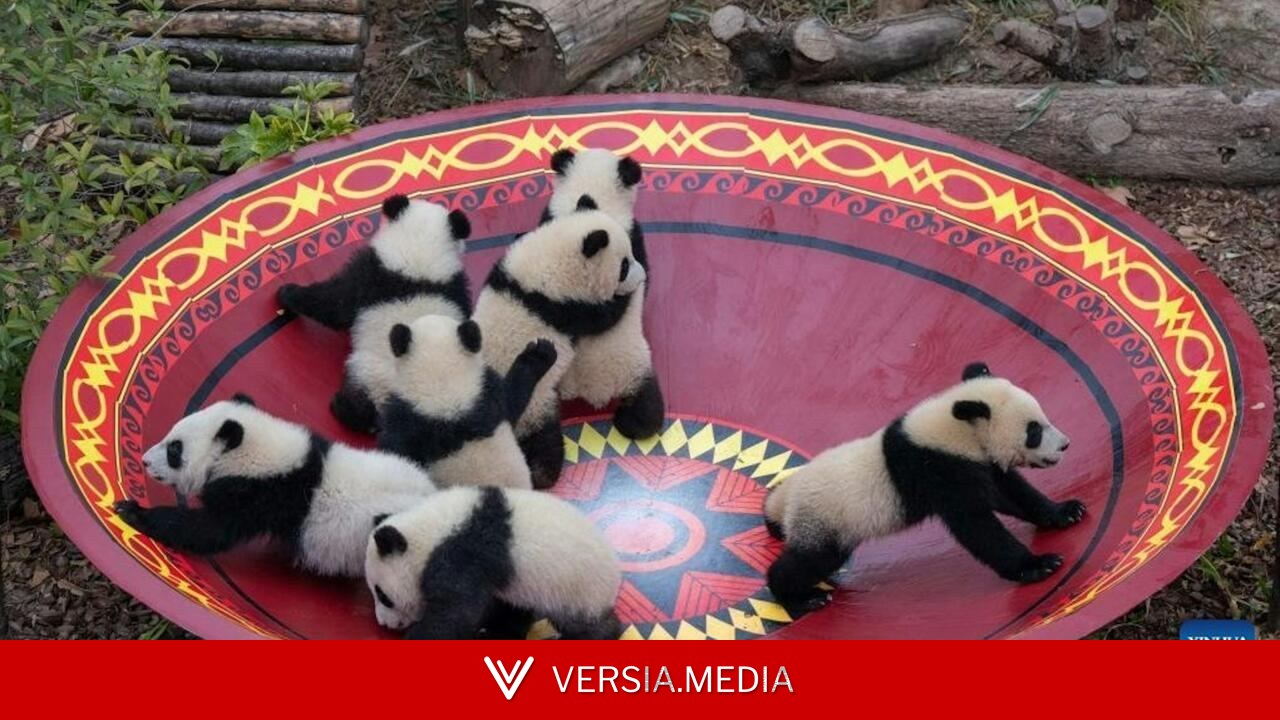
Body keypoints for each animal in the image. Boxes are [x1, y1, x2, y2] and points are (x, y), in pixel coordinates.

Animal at [276, 194, 471, 434]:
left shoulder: (367, 274)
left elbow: (333, 303)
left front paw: (286, 294)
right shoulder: (457, 290)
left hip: (368, 373)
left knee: (361, 403)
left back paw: (343, 407)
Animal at [365, 485, 622, 640]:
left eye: (383, 596)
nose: (384, 624)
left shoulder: (463, 557)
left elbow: (458, 612)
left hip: (577, 590)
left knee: (587, 627)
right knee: (515, 610)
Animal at [473, 210, 659, 488]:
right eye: (624, 266)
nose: (640, 276)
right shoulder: (564, 310)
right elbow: (604, 318)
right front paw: (623, 298)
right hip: (537, 405)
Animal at [763, 362, 1085, 608]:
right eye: (1034, 431)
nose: (1066, 445)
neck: (955, 427)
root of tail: (789, 496)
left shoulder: (974, 460)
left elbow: (1011, 493)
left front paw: (1066, 511)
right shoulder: (936, 467)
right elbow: (976, 525)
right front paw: (1038, 565)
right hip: (826, 517)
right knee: (811, 560)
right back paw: (799, 597)